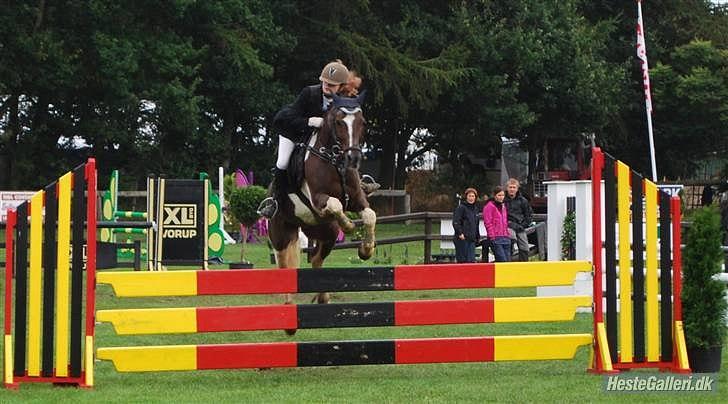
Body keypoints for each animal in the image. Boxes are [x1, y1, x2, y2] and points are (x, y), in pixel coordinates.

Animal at [268, 91, 376, 313]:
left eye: (362, 122)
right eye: (339, 122)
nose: (353, 158)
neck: (335, 161)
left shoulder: (357, 199)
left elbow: (370, 215)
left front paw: (366, 250)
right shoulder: (318, 199)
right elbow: (335, 205)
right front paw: (350, 225)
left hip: (326, 233)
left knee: (317, 260)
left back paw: (323, 297)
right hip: (280, 236)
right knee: (284, 266)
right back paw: (289, 303)